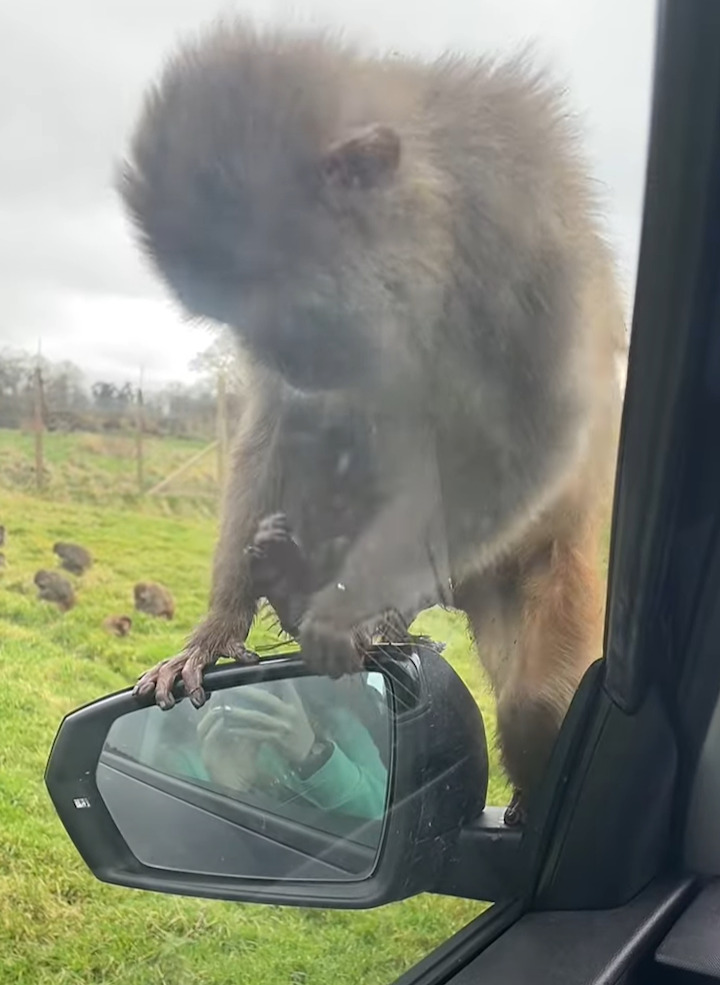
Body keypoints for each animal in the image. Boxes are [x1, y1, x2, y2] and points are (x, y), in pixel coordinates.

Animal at [121, 23, 628, 824]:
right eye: (243, 324)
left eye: (297, 312)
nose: (296, 361)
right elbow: (274, 427)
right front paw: (219, 629)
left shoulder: (525, 228)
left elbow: (539, 435)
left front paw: (344, 617)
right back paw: (293, 587)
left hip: (542, 567)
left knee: (536, 701)